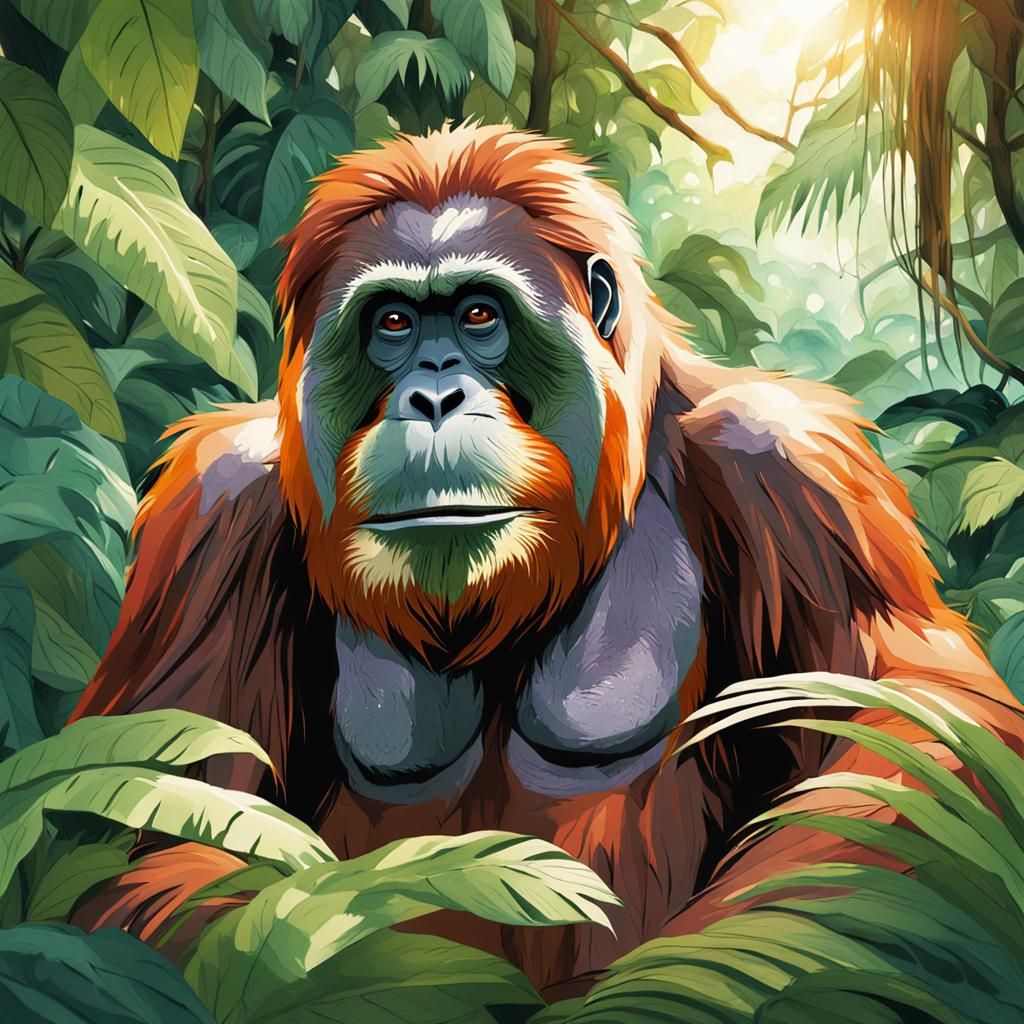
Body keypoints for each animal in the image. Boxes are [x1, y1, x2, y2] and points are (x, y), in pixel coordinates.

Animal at [72, 124, 1024, 995]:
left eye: (479, 315)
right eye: (392, 323)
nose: (434, 393)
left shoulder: (791, 475)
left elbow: (907, 737)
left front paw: (665, 993)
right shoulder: (217, 516)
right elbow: (155, 838)